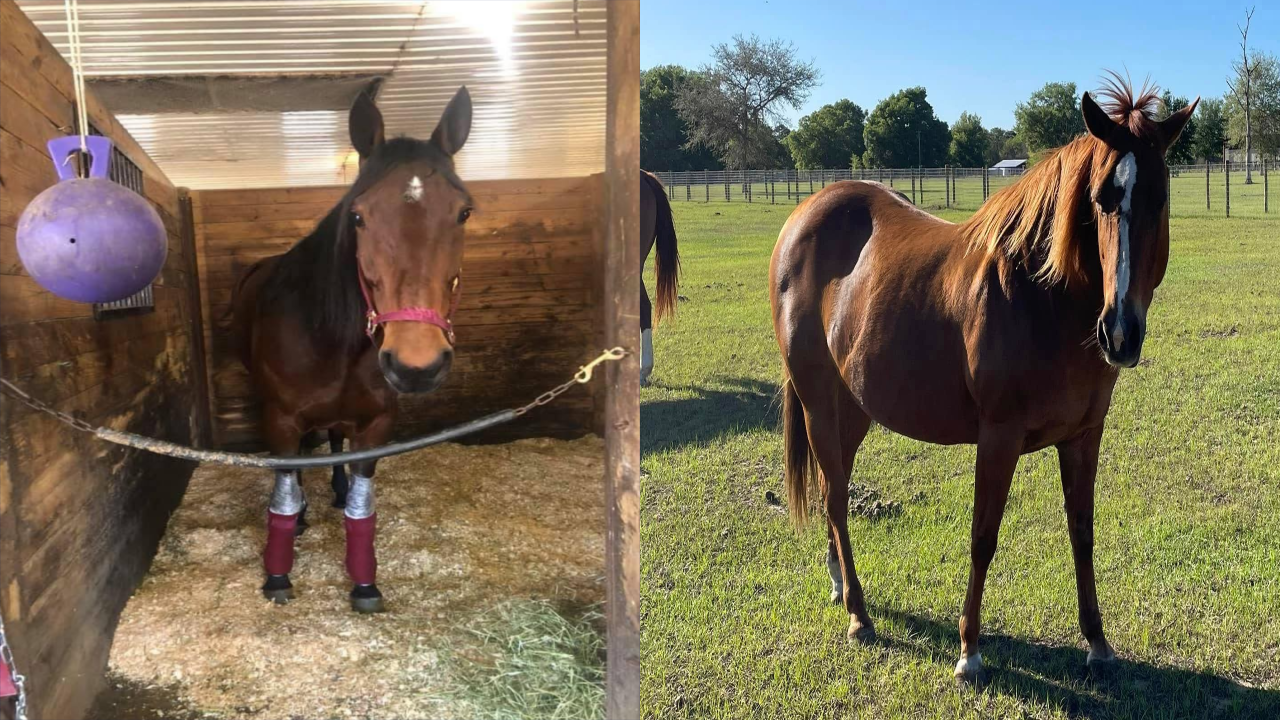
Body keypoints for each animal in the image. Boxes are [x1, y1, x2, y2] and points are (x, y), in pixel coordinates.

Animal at [232, 86, 473, 613]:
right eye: (359, 215)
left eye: (464, 211)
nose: (417, 364)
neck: (331, 335)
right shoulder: (280, 419)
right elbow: (283, 495)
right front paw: (277, 574)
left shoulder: (375, 424)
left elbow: (364, 508)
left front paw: (364, 581)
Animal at [770, 76, 1196, 682]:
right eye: (1101, 199)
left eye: (1159, 199)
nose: (1120, 332)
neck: (1042, 299)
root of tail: (802, 217)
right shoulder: (998, 438)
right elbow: (983, 537)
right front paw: (969, 650)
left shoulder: (1084, 437)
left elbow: (1082, 533)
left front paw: (1097, 642)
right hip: (816, 402)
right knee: (833, 498)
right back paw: (858, 614)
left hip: (854, 408)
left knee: (836, 490)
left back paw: (838, 585)